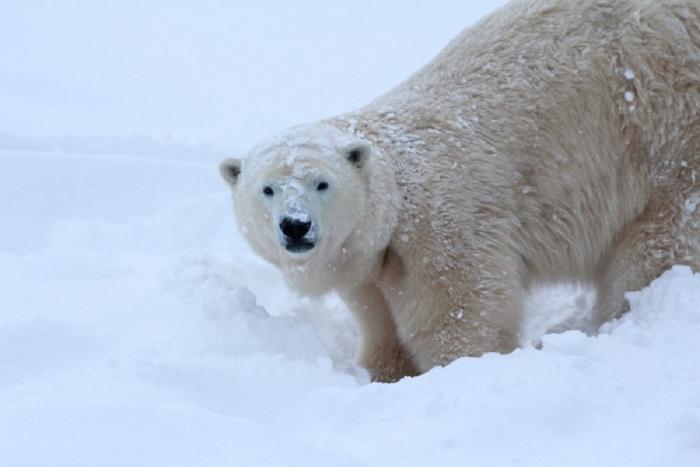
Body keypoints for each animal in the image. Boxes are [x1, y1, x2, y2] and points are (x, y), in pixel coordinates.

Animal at [221, 0, 700, 382]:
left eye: (322, 183)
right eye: (267, 189)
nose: (295, 226)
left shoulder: (443, 223)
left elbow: (461, 314)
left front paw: (456, 371)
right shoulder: (369, 269)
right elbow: (380, 323)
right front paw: (383, 372)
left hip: (668, 135)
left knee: (657, 245)